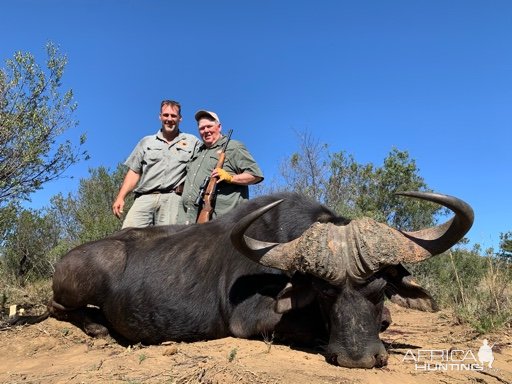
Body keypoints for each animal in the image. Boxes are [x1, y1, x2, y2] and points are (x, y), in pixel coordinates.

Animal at [14, 192, 474, 368]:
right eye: (324, 292)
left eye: (380, 289)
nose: (358, 358)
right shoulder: (250, 321)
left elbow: (388, 320)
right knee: (57, 307)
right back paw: (97, 327)